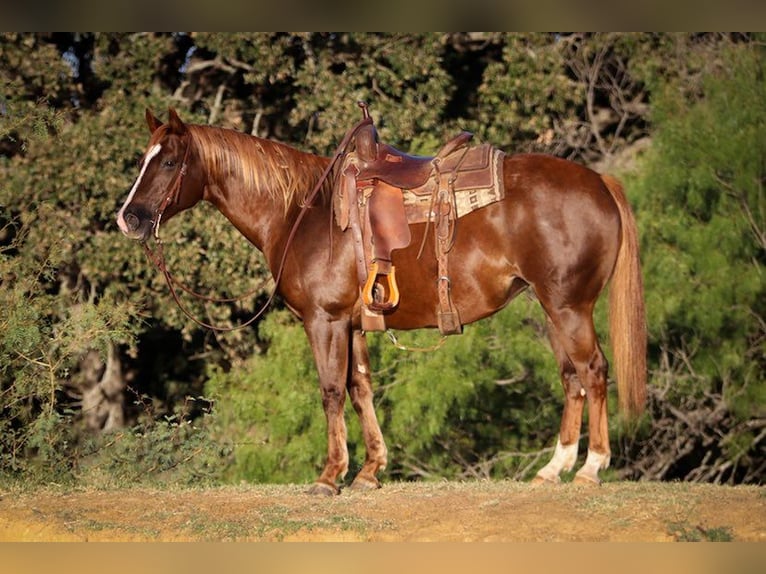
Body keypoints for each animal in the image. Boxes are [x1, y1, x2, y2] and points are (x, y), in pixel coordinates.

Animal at [117, 110, 648, 498]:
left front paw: (330, 476)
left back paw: (591, 468)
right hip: (551, 307)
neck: (301, 214)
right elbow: (361, 390)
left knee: (593, 372)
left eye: (168, 162)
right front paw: (370, 470)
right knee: (572, 378)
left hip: (569, 307)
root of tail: (600, 182)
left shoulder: (324, 321)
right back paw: (554, 468)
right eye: (145, 158)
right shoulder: (353, 325)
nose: (129, 218)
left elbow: (331, 391)